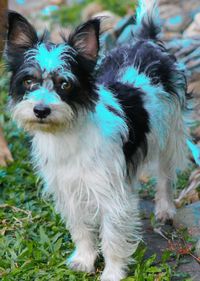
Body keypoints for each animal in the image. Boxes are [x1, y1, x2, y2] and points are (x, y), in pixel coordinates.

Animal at [4, 0, 188, 280]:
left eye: (65, 84)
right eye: (28, 81)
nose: (41, 110)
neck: (67, 134)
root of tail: (145, 40)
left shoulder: (110, 194)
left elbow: (112, 237)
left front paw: (112, 272)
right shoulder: (68, 189)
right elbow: (80, 228)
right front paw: (85, 259)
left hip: (170, 131)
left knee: (166, 173)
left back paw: (165, 207)